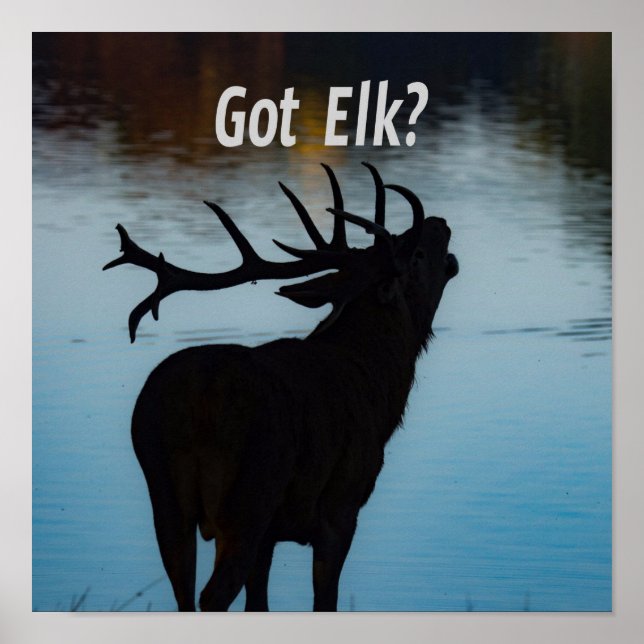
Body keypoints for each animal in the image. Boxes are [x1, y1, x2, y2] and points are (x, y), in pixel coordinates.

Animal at [103, 162, 458, 612]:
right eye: (414, 254)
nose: (441, 222)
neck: (380, 388)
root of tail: (195, 400)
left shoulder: (272, 535)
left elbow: (260, 603)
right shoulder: (341, 507)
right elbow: (325, 602)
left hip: (166, 497)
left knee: (184, 592)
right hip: (248, 496)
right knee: (213, 594)